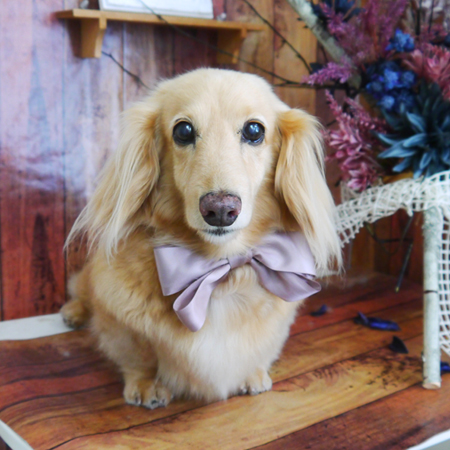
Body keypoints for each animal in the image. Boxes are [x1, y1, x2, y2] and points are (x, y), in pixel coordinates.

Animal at [61, 68, 342, 409]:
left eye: (254, 130)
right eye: (183, 130)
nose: (220, 209)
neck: (217, 267)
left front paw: (253, 374)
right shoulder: (119, 321)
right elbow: (137, 355)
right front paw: (145, 383)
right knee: (80, 290)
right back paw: (73, 312)